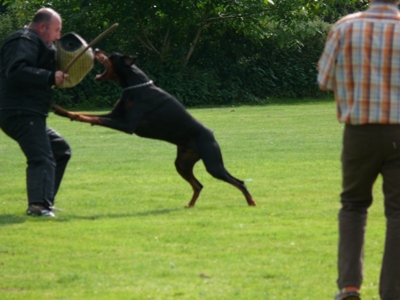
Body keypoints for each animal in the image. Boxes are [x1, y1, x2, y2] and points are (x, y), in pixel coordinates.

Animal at [52, 49, 256, 209]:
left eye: (110, 55)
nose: (96, 49)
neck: (134, 87)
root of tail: (211, 134)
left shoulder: (126, 124)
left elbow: (91, 117)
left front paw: (66, 112)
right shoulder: (115, 115)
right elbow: (87, 114)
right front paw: (62, 111)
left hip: (213, 164)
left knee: (239, 182)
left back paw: (251, 202)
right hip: (182, 163)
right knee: (198, 185)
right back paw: (190, 205)